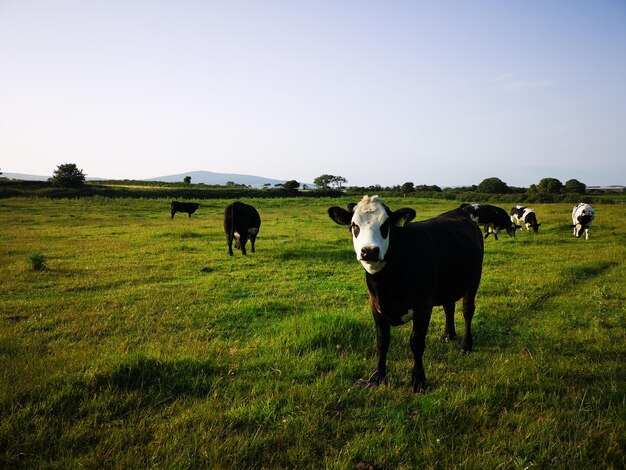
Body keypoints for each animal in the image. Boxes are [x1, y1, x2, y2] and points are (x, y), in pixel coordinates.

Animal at [326, 195, 482, 392]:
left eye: (386, 225)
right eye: (354, 225)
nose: (369, 251)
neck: (387, 285)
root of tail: (460, 211)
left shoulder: (423, 306)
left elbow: (416, 342)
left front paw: (419, 380)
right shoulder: (375, 306)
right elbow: (382, 342)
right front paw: (377, 377)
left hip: (473, 281)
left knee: (468, 310)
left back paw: (466, 345)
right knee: (449, 306)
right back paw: (448, 334)